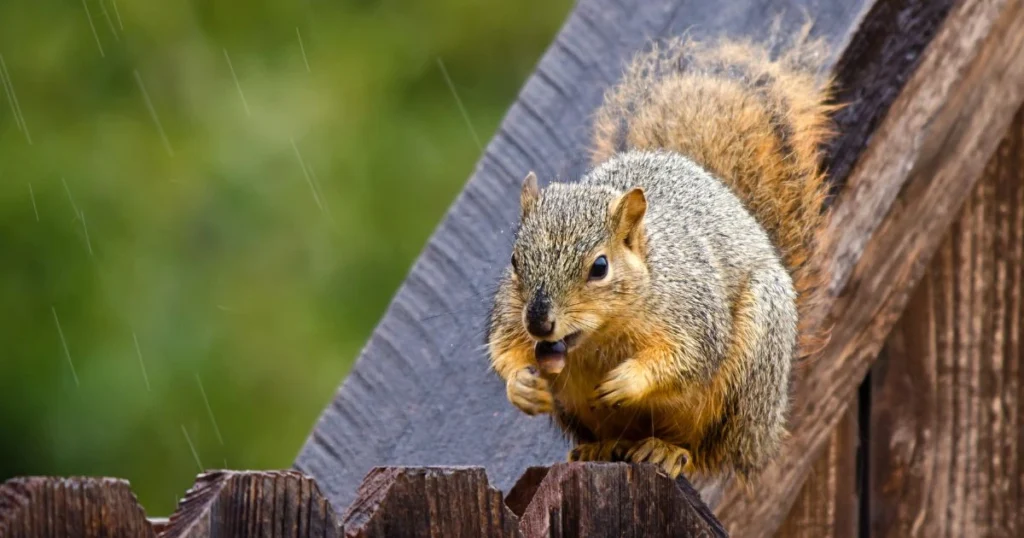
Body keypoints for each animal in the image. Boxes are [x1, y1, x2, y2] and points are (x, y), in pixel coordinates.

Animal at [483, 31, 835, 479]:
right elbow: (504, 347)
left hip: (748, 371)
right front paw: (522, 386)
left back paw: (669, 450)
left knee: (707, 450)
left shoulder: (693, 311)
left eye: (600, 267)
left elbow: (686, 358)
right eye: (514, 261)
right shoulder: (510, 316)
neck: (600, 337)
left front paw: (626, 381)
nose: (539, 322)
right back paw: (601, 447)